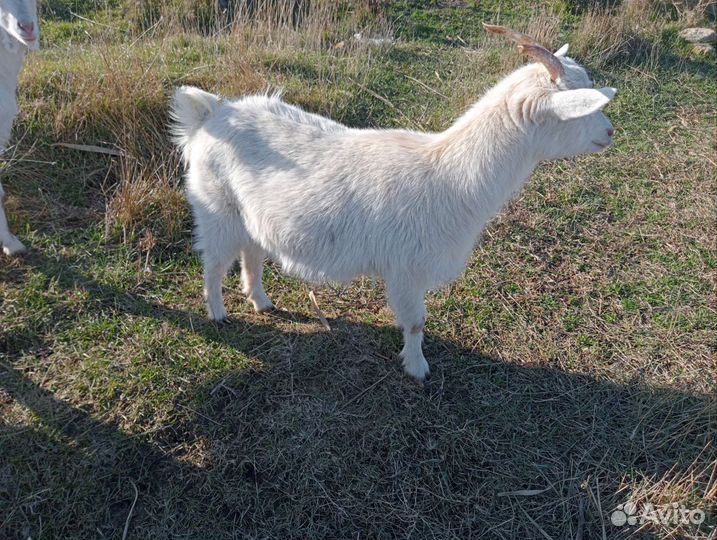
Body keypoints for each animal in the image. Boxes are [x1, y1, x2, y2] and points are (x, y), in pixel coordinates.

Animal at [171, 23, 616, 380]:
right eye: (579, 109)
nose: (610, 132)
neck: (448, 178)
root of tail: (210, 113)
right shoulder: (407, 269)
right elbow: (416, 323)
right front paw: (417, 368)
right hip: (214, 207)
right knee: (214, 261)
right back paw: (218, 312)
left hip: (249, 213)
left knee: (252, 251)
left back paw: (261, 302)